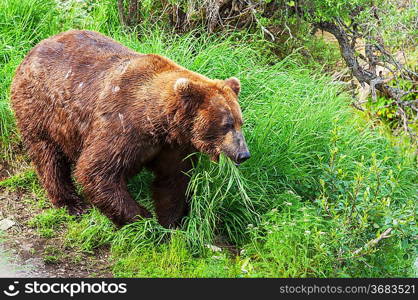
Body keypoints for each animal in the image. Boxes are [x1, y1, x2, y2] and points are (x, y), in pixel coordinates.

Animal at [11, 29, 250, 227]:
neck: (157, 121)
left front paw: (170, 222)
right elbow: (96, 171)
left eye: (241, 122)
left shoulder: (174, 145)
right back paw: (71, 202)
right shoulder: (122, 127)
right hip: (40, 109)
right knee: (48, 156)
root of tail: (33, 49)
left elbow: (173, 180)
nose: (243, 154)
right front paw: (142, 218)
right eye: (227, 124)